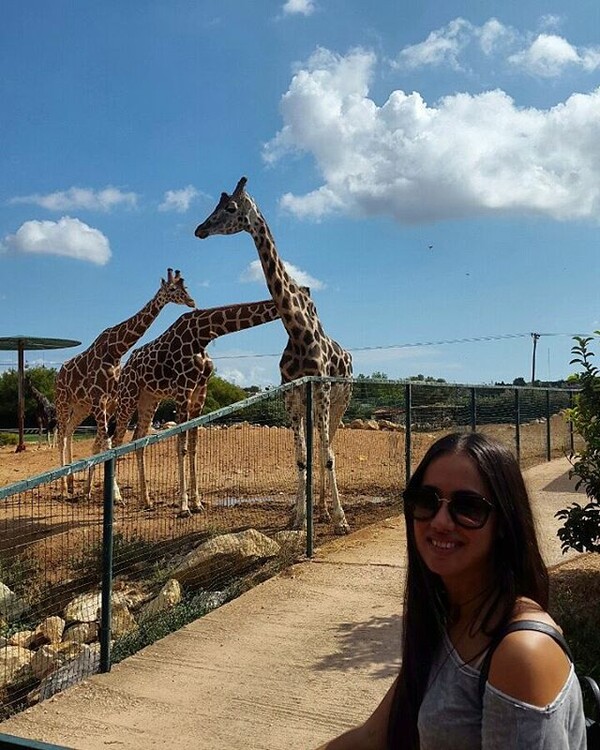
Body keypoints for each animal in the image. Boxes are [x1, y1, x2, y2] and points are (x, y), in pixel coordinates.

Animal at [55, 270, 196, 500]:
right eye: (173, 289)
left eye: (187, 287)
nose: (192, 302)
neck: (116, 351)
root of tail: (59, 374)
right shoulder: (99, 399)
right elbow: (107, 442)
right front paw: (116, 494)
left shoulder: (110, 401)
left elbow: (104, 443)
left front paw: (100, 491)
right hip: (62, 401)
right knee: (60, 435)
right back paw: (62, 487)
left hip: (81, 406)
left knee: (68, 432)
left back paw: (71, 484)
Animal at [112, 300, 282, 516]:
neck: (203, 334)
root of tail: (125, 367)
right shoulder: (183, 390)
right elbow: (181, 447)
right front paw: (184, 507)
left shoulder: (200, 393)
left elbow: (193, 447)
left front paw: (197, 503)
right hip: (128, 395)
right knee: (116, 442)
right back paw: (117, 497)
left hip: (150, 398)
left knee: (138, 439)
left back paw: (146, 501)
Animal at [195, 176, 354, 536]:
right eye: (215, 205)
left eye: (231, 207)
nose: (200, 229)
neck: (297, 330)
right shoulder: (291, 396)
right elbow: (301, 457)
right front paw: (297, 518)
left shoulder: (322, 391)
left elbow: (327, 455)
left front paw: (341, 520)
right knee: (316, 448)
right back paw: (317, 508)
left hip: (340, 401)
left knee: (329, 446)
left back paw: (329, 510)